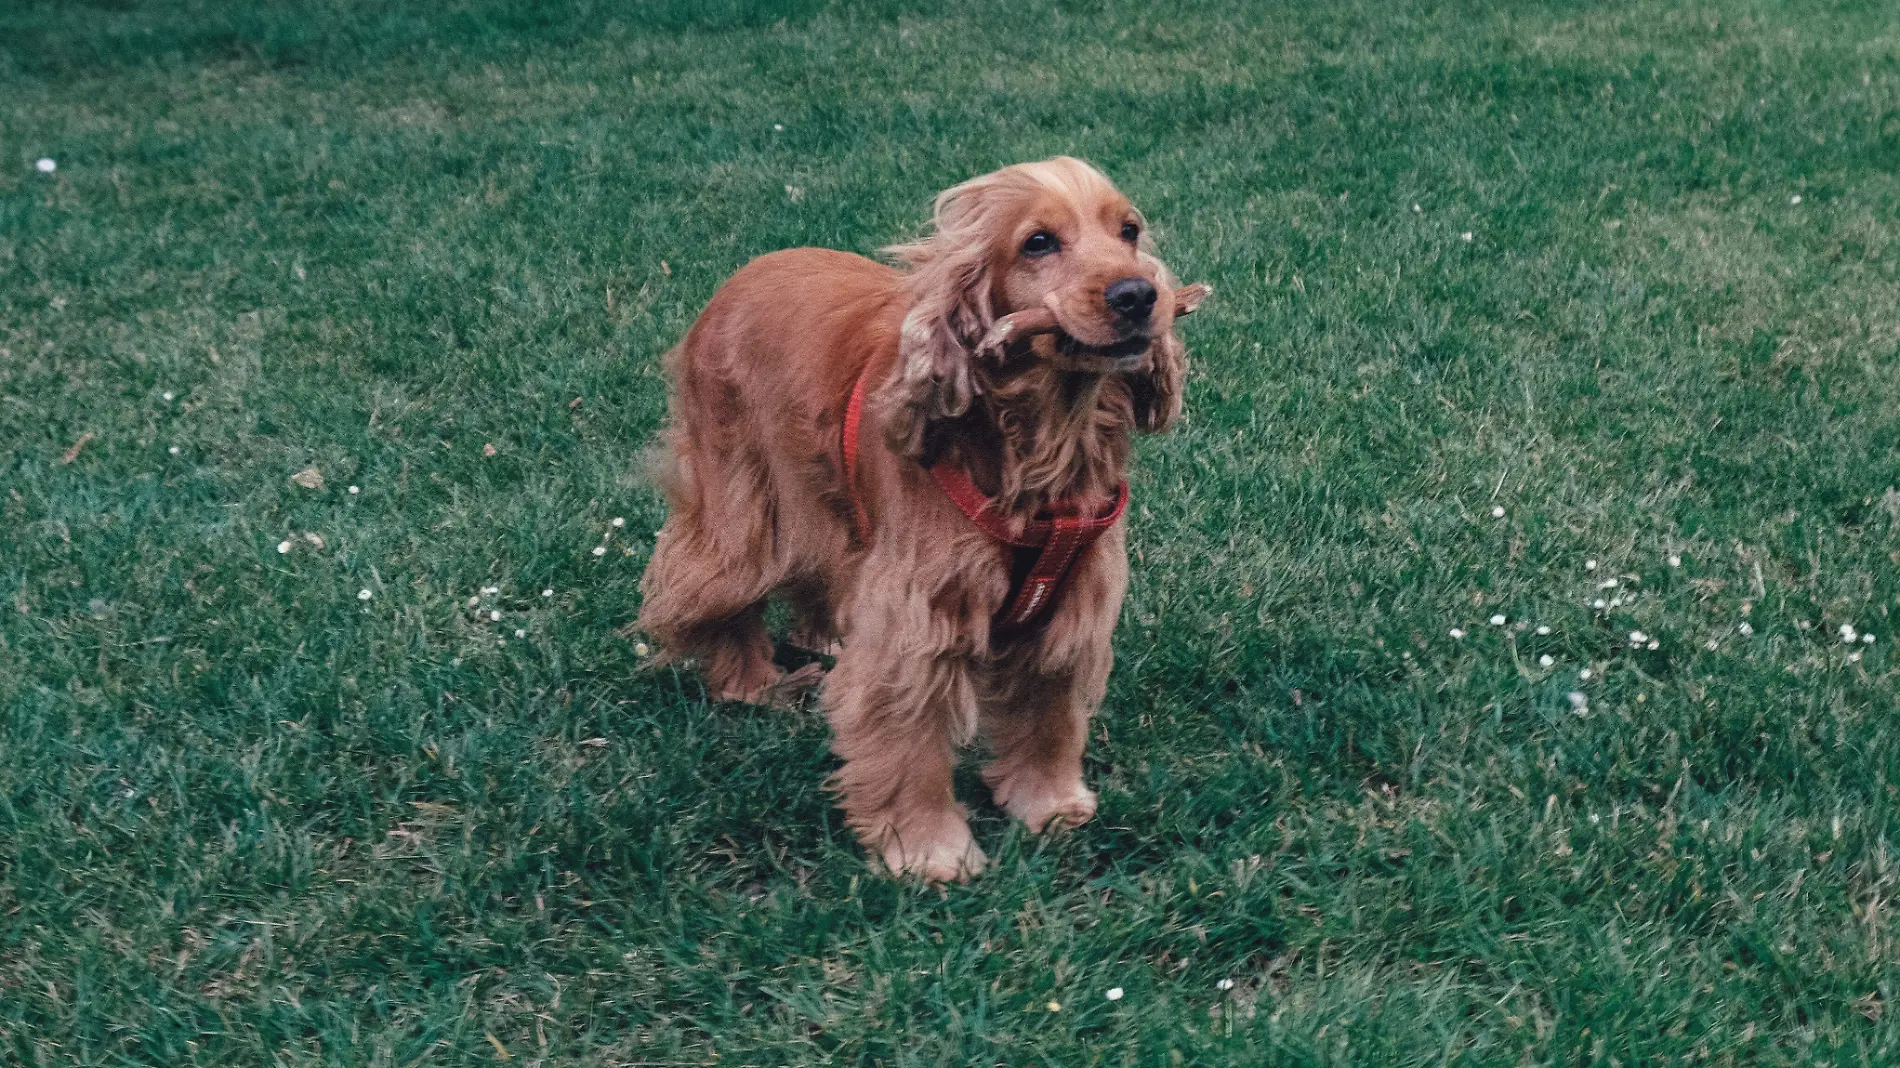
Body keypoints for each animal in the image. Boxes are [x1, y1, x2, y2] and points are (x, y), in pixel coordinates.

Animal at [638, 153, 1200, 877]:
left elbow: (1049, 710)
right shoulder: (916, 618)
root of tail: (744, 273)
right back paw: (755, 682)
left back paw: (823, 637)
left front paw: (1048, 803)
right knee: (720, 589)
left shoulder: (1071, 598)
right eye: (1038, 242)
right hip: (743, 507)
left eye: (1128, 230)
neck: (1043, 439)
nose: (1139, 295)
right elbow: (909, 741)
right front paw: (929, 850)